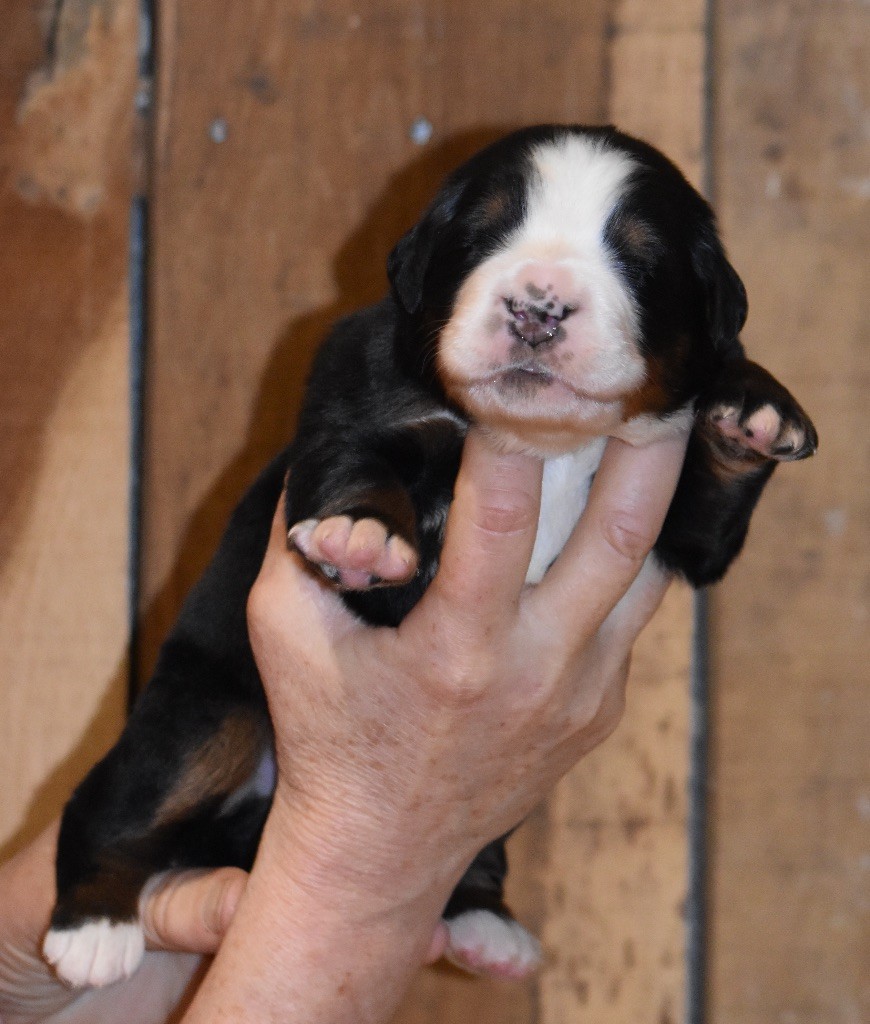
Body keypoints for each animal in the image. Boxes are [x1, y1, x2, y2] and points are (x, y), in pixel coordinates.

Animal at [42, 123, 814, 987]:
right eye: (483, 235)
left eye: (639, 260)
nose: (537, 307)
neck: (545, 447)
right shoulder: (354, 387)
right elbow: (356, 461)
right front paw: (361, 535)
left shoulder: (679, 525)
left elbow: (714, 497)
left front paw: (754, 406)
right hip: (207, 713)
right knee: (113, 802)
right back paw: (92, 928)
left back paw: (484, 921)